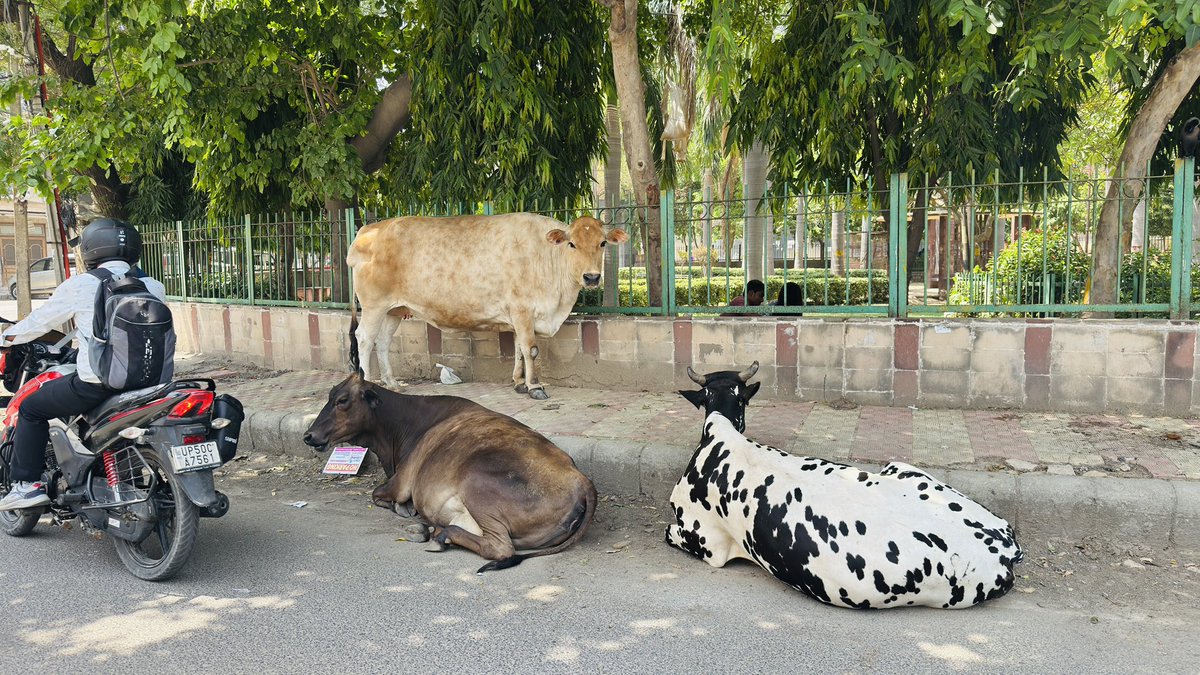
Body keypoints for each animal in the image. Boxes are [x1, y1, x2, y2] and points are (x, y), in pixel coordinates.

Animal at [302, 368, 597, 574]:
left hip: (477, 487)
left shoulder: (401, 481)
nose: (308, 435)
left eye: (342, 400)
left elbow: (378, 495)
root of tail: (581, 479)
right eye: (329, 396)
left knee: (500, 548)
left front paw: (404, 509)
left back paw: (439, 535)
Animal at [347, 213, 627, 399]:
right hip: (374, 307)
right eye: (572, 243)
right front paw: (535, 386)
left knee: (383, 342)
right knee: (364, 339)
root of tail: (369, 230)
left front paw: (519, 383)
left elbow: (518, 349)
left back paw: (392, 383)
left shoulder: (517, 316)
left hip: (393, 310)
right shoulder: (523, 311)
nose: (591, 277)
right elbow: (531, 349)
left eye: (602, 243)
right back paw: (367, 384)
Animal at [667, 362, 1023, 609]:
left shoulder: (707, 544)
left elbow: (670, 532)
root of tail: (1005, 546)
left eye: (742, 400)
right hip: (901, 467)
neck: (723, 434)